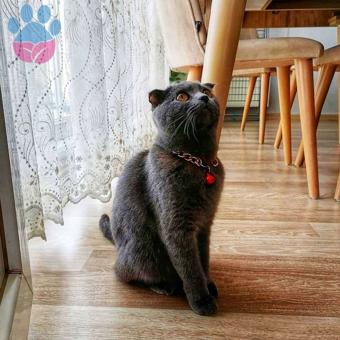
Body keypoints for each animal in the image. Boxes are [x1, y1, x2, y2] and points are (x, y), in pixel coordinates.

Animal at [99, 81, 224, 314]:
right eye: (182, 97)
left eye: (207, 91)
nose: (204, 98)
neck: (199, 161)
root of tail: (118, 247)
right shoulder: (176, 226)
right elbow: (190, 267)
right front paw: (202, 301)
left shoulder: (204, 225)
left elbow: (203, 259)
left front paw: (209, 285)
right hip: (143, 249)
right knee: (124, 273)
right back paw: (163, 286)